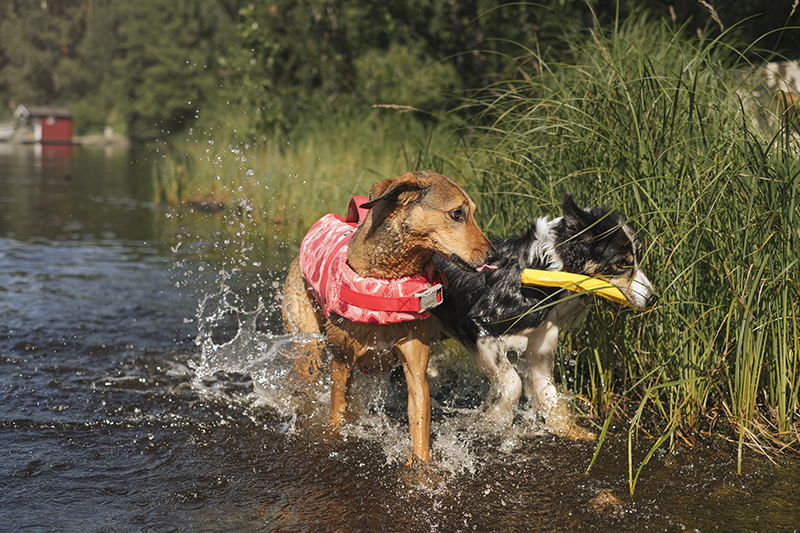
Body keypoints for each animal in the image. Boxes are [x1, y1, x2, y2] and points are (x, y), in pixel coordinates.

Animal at [282, 170, 494, 462]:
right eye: (456, 214)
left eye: (472, 212)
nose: (494, 255)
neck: (388, 281)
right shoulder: (341, 364)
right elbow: (336, 415)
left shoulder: (416, 370)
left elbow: (419, 429)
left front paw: (423, 468)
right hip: (307, 347)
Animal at [432, 193, 656, 438]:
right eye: (620, 264)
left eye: (639, 256)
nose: (652, 299)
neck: (548, 270)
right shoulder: (478, 324)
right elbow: (513, 383)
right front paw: (493, 418)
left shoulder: (540, 347)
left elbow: (548, 393)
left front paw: (573, 431)